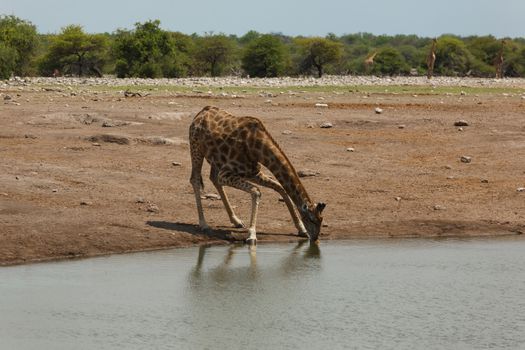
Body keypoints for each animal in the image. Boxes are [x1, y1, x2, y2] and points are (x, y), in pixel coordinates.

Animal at [190, 105, 326, 245]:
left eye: (321, 220)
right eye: (311, 219)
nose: (315, 239)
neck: (259, 149)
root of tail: (201, 112)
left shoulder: (253, 172)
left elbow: (280, 188)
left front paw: (301, 229)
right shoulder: (226, 173)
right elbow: (256, 191)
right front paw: (252, 235)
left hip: (215, 160)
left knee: (213, 178)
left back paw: (236, 221)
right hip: (196, 148)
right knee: (195, 179)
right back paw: (204, 224)